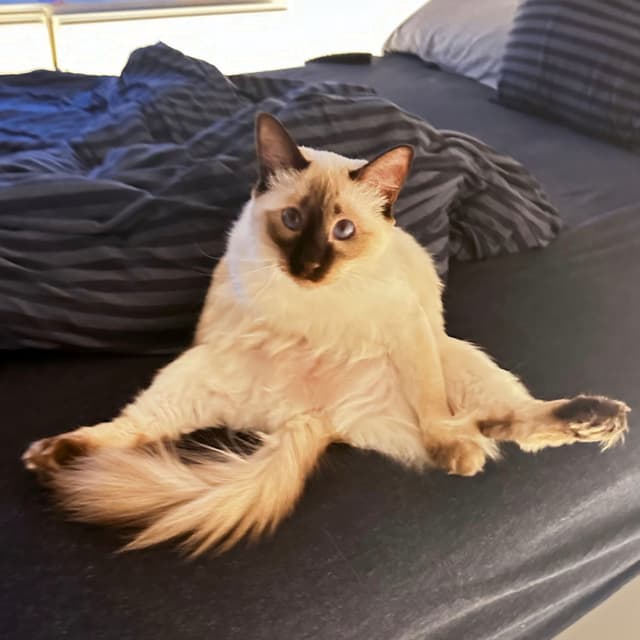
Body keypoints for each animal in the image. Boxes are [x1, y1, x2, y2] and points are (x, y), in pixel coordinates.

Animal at [21, 111, 632, 556]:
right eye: (292, 221)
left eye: (343, 230)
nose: (309, 267)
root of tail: (312, 416)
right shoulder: (240, 305)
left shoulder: (408, 328)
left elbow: (434, 408)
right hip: (189, 374)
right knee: (133, 431)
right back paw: (51, 456)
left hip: (453, 356)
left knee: (500, 423)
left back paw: (582, 421)